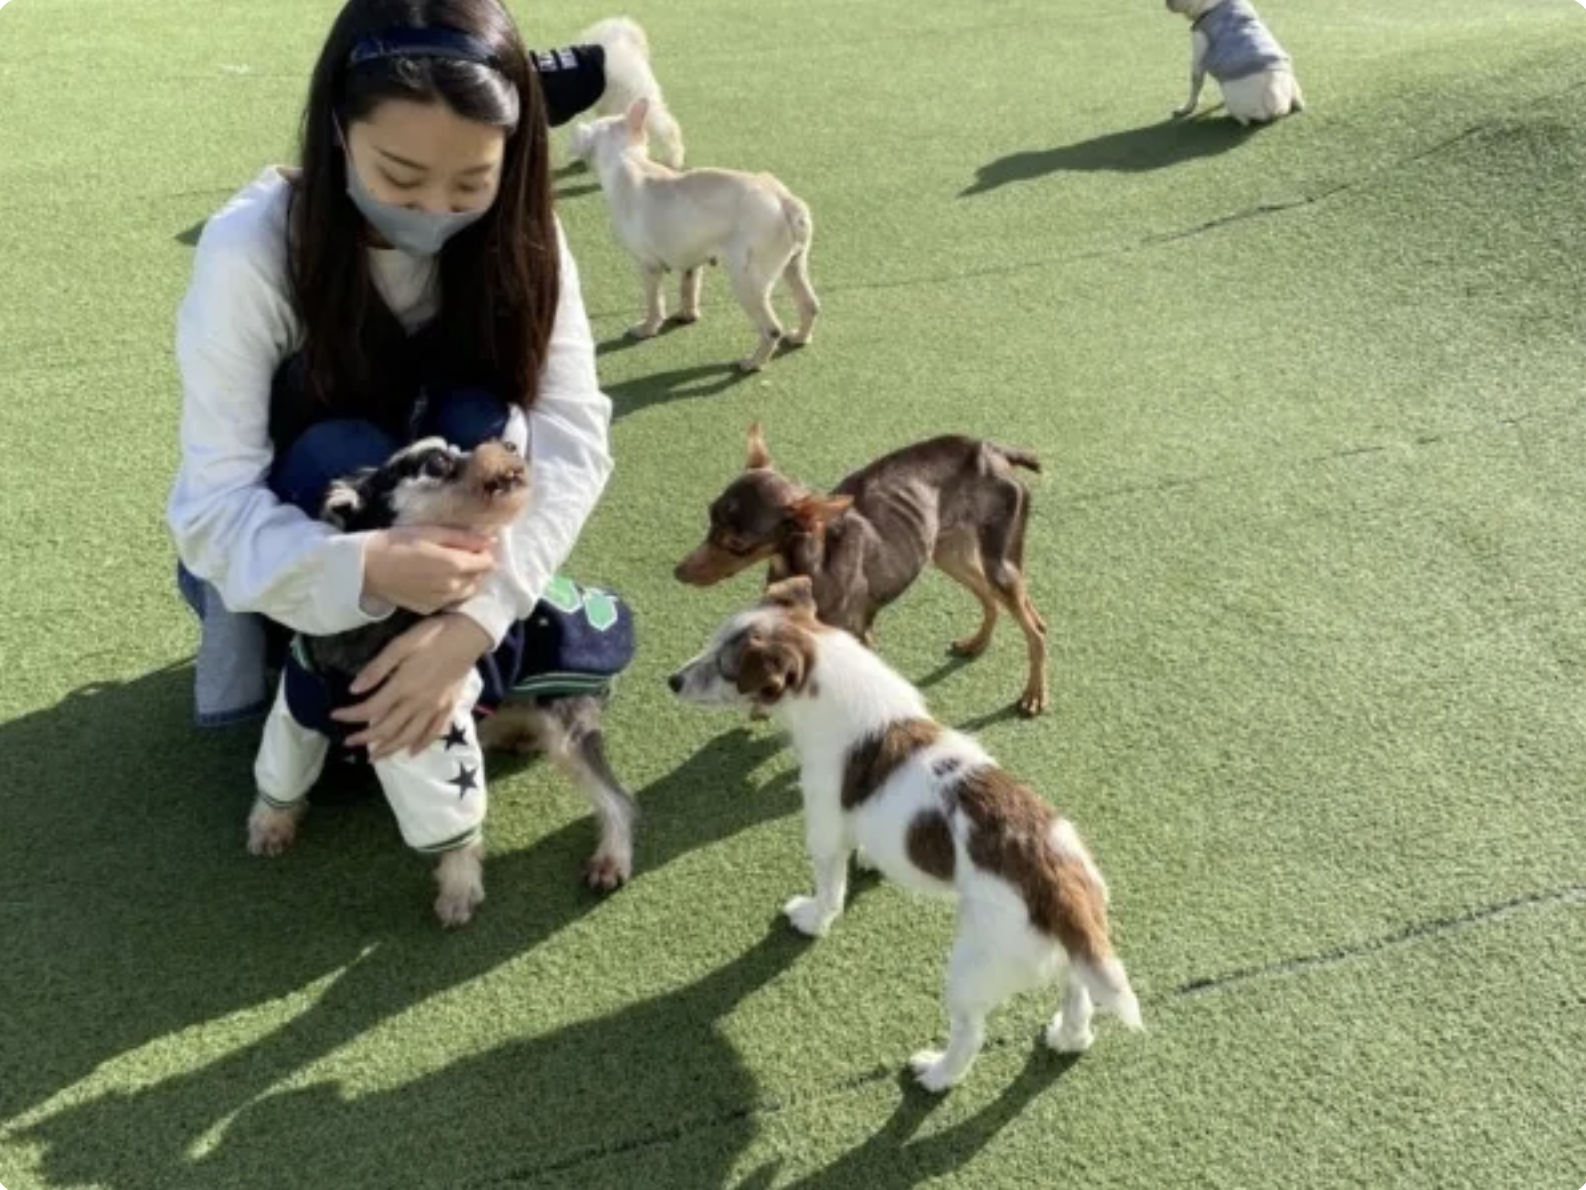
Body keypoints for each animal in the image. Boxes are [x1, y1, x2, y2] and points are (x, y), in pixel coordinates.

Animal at [574, 100, 818, 374]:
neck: (627, 158)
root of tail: (785, 201)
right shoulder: (692, 258)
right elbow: (688, 288)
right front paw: (687, 316)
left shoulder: (648, 266)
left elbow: (654, 302)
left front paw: (647, 328)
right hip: (793, 266)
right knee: (810, 305)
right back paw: (799, 337)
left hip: (747, 282)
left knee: (771, 329)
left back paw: (752, 363)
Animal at [666, 577, 1141, 1091]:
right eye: (712, 643)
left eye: (725, 668)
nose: (671, 681)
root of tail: (1060, 883)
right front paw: (872, 863)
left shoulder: (824, 828)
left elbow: (829, 889)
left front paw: (811, 919)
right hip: (1067, 953)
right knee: (1078, 995)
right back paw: (1067, 1039)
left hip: (973, 966)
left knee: (970, 1035)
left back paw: (935, 1074)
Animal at [672, 425, 1053, 714]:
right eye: (711, 517)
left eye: (738, 545)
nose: (679, 572)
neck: (808, 565)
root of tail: (993, 449)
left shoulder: (859, 637)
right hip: (949, 554)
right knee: (993, 600)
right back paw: (978, 643)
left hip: (998, 565)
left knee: (1034, 630)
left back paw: (1034, 694)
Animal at [1167, 0, 1300, 126]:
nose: (1167, 2)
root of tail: (1277, 107)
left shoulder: (1198, 53)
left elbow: (1196, 84)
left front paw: (1186, 109)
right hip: (1293, 85)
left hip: (1233, 98)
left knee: (1243, 120)